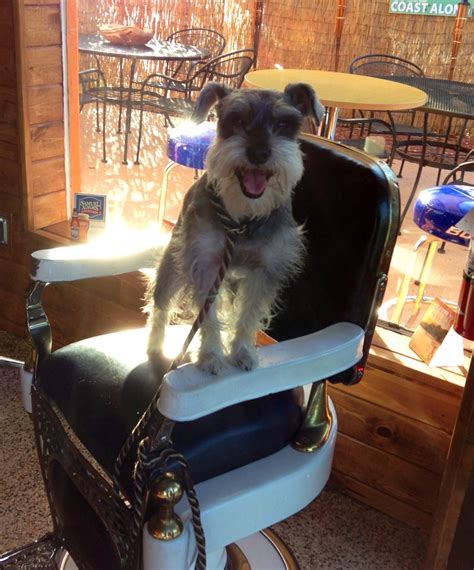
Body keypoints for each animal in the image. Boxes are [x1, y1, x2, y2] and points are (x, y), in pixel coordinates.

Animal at [148, 80, 326, 372]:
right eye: (237, 120)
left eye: (283, 124)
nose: (259, 153)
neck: (244, 220)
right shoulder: (206, 264)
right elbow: (208, 317)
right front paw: (210, 355)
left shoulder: (264, 271)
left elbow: (248, 314)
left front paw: (242, 351)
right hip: (172, 265)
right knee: (160, 305)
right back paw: (155, 345)